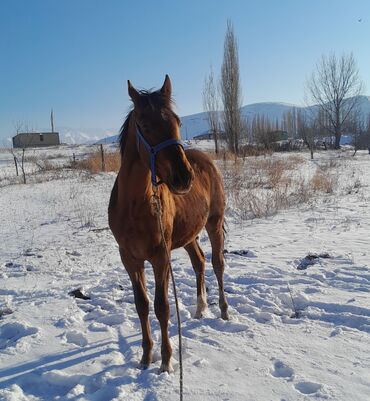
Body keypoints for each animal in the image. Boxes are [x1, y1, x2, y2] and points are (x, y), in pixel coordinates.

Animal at [107, 75, 228, 372]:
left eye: (177, 122)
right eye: (144, 124)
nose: (184, 177)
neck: (135, 205)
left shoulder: (160, 256)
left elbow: (162, 306)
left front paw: (166, 361)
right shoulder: (130, 258)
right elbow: (141, 304)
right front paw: (145, 356)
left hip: (214, 224)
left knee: (217, 264)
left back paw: (223, 309)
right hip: (189, 235)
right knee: (199, 261)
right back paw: (200, 307)